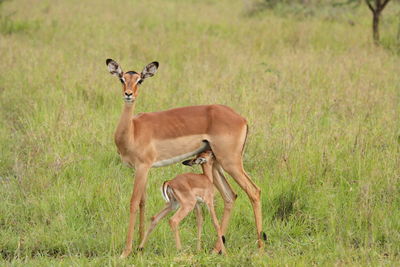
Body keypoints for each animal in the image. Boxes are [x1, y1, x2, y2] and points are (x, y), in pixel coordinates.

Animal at [105, 59, 266, 260]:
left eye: (140, 80)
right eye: (121, 79)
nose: (128, 94)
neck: (133, 130)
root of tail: (242, 119)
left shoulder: (142, 167)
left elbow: (134, 203)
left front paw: (126, 251)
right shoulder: (142, 169)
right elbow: (143, 202)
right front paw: (140, 246)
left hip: (231, 162)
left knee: (254, 191)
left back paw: (260, 248)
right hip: (215, 164)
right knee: (230, 196)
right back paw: (216, 249)